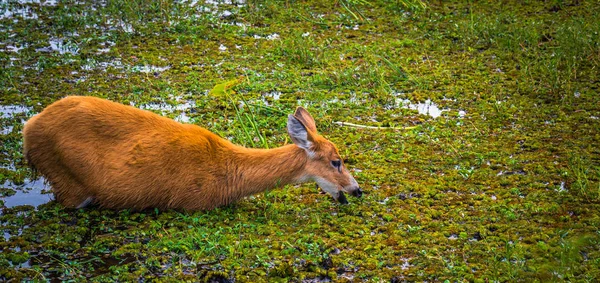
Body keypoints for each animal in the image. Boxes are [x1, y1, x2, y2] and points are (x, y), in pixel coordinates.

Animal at [22, 96, 360, 211]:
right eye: (336, 161)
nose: (357, 190)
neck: (228, 174)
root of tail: (28, 129)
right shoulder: (193, 203)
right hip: (68, 182)